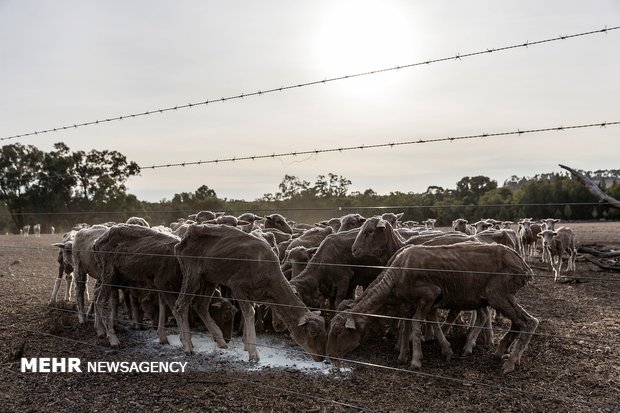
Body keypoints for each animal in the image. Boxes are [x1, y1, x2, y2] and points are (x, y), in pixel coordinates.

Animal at [173, 222, 326, 360]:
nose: (321, 358)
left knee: (201, 305)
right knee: (180, 306)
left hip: (210, 278)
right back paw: (187, 346)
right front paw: (253, 354)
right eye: (312, 332)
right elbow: (249, 313)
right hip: (191, 271)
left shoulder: (254, 295)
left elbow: (250, 312)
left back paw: (221, 341)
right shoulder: (238, 287)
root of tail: (184, 237)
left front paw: (247, 345)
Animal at [330, 241, 536, 374]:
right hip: (497, 296)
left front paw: (415, 360)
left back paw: (509, 363)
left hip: (498, 294)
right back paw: (501, 352)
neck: (395, 276)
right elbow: (416, 324)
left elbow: (415, 324)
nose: (330, 357)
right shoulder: (421, 302)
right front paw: (406, 354)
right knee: (514, 322)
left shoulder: (428, 295)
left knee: (528, 322)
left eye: (341, 332)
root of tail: (523, 264)